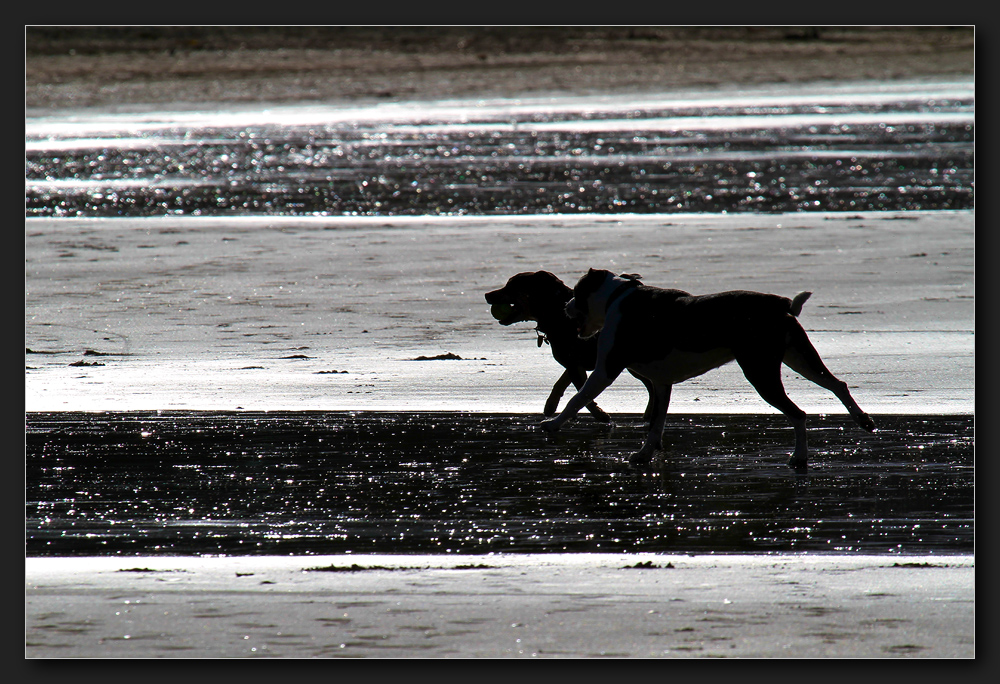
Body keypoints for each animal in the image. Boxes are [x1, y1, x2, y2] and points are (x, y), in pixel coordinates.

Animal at [540, 268, 876, 470]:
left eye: (576, 293)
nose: (566, 307)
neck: (615, 298)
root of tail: (781, 305)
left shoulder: (606, 370)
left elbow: (577, 399)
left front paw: (553, 424)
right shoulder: (662, 384)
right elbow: (657, 423)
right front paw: (645, 454)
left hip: (760, 371)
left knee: (798, 413)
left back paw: (800, 457)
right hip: (800, 358)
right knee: (837, 384)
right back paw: (863, 420)